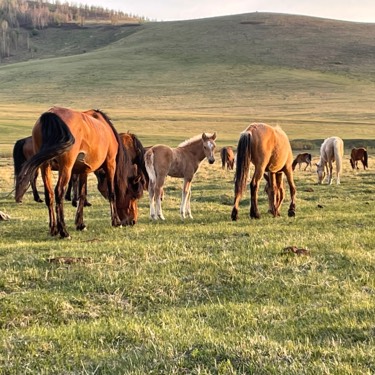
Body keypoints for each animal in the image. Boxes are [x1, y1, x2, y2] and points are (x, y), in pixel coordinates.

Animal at [14, 108, 141, 238]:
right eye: (134, 196)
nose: (133, 221)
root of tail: (51, 113)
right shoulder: (110, 164)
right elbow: (112, 192)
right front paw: (116, 221)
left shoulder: (83, 170)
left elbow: (82, 194)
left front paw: (80, 224)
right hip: (66, 166)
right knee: (58, 192)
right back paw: (63, 231)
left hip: (45, 166)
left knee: (49, 195)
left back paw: (53, 229)